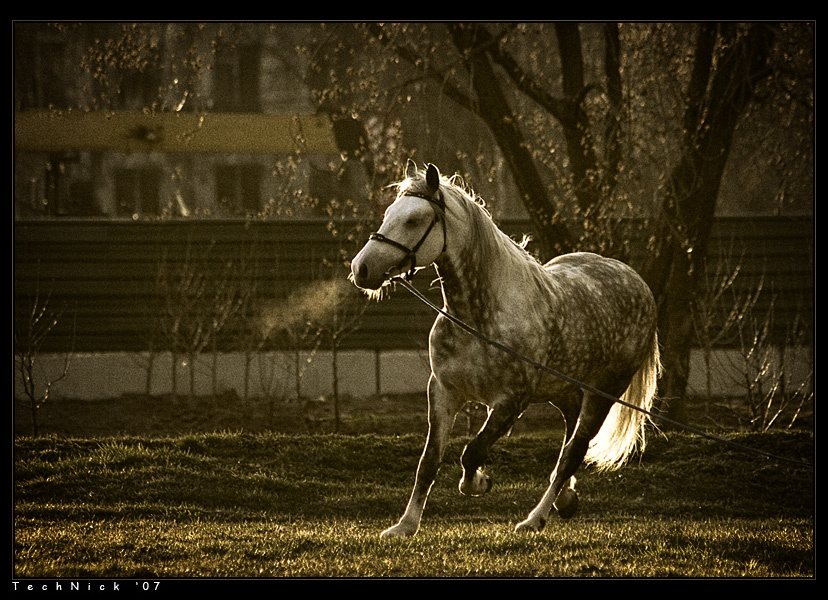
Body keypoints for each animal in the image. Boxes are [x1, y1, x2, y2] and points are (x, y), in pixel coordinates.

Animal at [350, 160, 660, 538]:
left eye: (413, 220)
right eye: (388, 214)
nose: (361, 269)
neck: (478, 318)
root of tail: (637, 281)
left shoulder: (511, 401)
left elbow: (472, 452)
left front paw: (478, 483)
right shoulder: (443, 392)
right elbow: (429, 462)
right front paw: (404, 526)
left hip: (603, 393)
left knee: (573, 451)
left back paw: (535, 519)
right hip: (565, 391)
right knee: (568, 446)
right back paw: (564, 499)